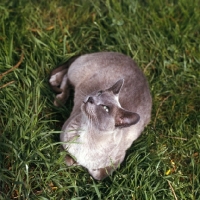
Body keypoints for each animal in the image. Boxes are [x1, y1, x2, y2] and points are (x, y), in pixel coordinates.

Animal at [48, 51, 152, 180]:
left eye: (105, 108)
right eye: (99, 93)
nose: (91, 98)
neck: (88, 133)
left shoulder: (114, 163)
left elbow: (97, 175)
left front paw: (80, 164)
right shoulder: (63, 136)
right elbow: (68, 158)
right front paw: (74, 161)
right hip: (77, 73)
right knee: (67, 74)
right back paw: (57, 93)